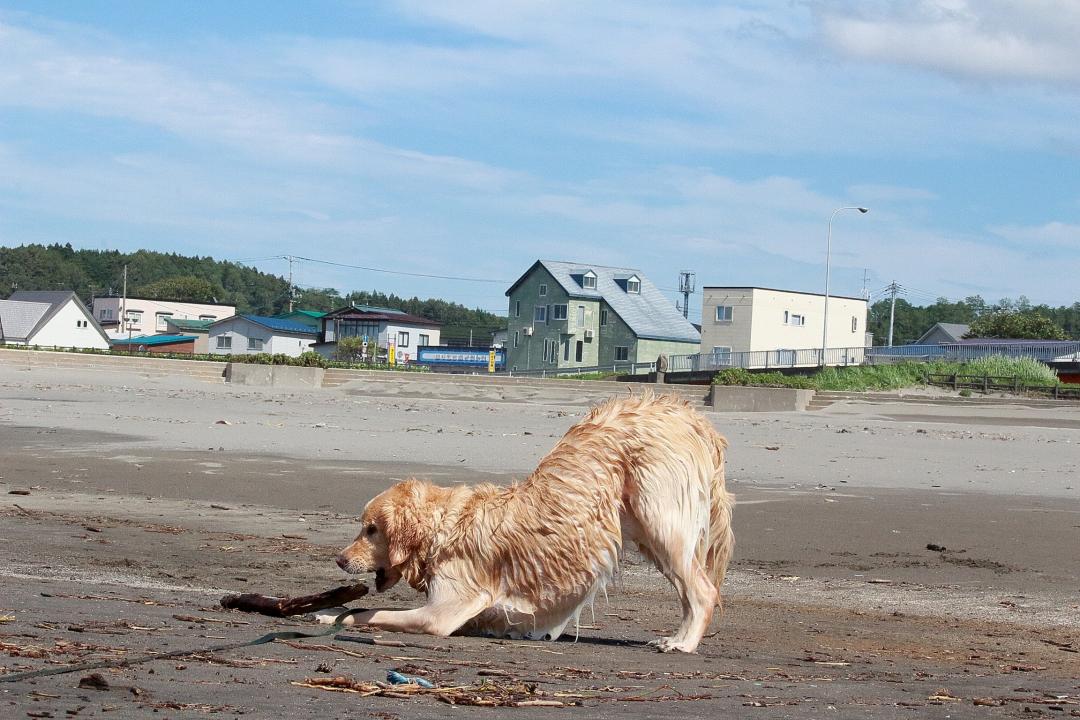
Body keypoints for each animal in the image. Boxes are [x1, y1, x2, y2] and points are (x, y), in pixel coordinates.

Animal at [330, 390, 734, 656]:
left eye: (371, 529)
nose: (339, 559)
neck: (443, 526)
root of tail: (687, 415)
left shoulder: (441, 613)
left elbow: (371, 612)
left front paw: (335, 616)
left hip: (660, 522)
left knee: (702, 591)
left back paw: (682, 642)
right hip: (646, 529)